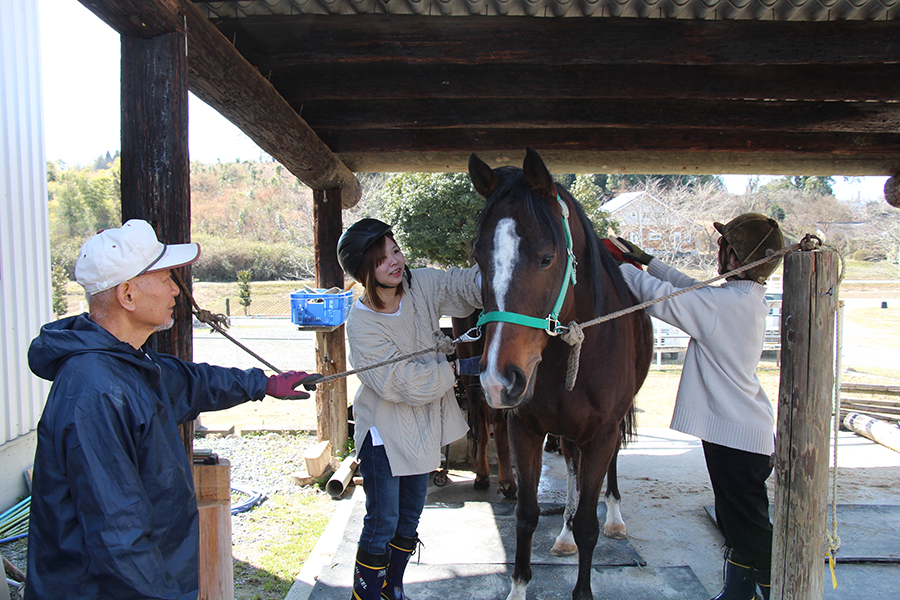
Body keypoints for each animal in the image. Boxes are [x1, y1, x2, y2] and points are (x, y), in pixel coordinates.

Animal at [468, 149, 652, 600]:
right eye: (478, 259)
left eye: (546, 257)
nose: (498, 380)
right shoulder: (525, 429)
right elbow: (527, 514)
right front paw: (519, 587)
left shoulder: (602, 432)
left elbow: (589, 522)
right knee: (570, 466)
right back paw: (564, 534)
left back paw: (614, 517)